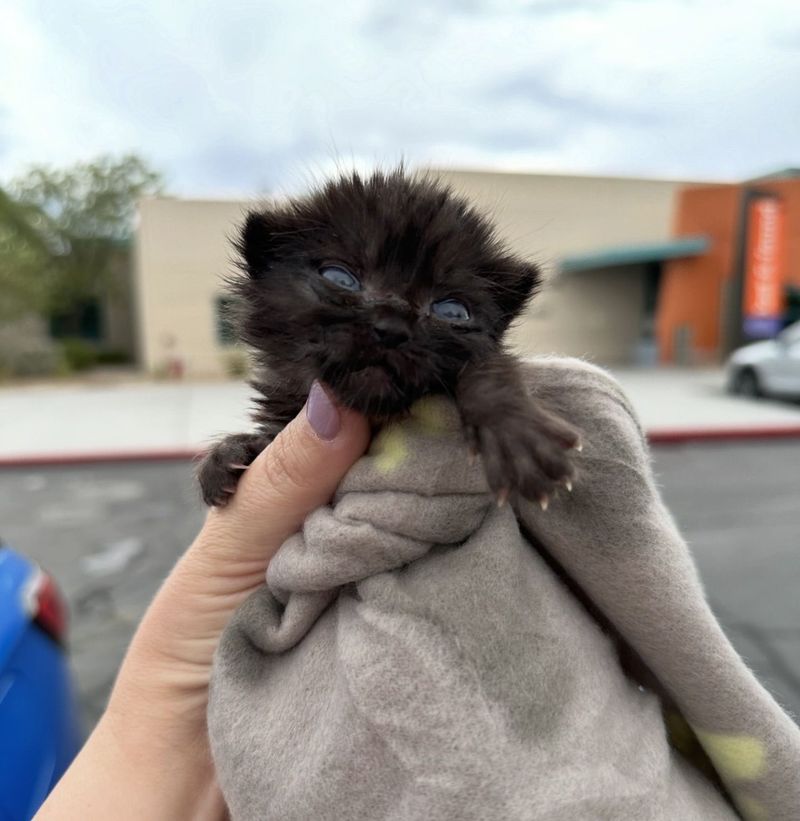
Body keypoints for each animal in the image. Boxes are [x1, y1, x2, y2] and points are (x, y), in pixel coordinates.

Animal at [197, 169, 580, 506]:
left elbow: (488, 365)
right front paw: (228, 453)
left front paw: (515, 434)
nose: (392, 328)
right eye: (340, 278)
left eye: (452, 311)